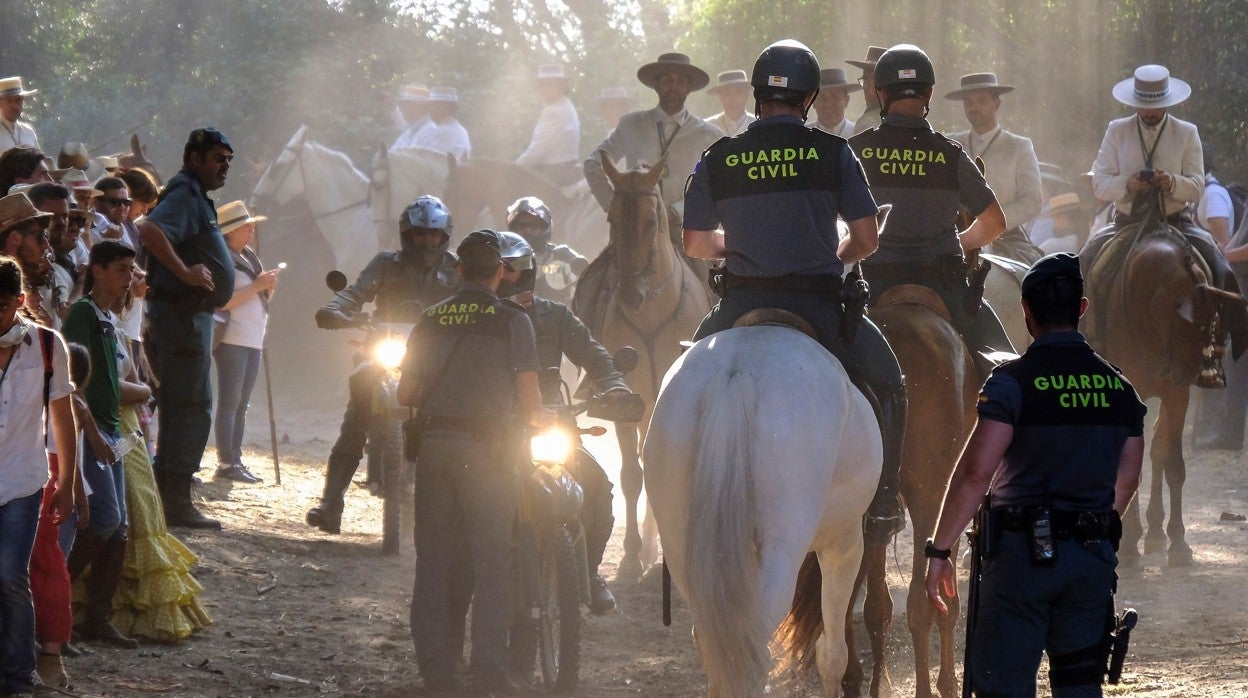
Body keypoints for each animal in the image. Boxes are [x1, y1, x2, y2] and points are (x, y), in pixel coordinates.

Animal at [648, 319, 883, 694]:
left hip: (680, 544)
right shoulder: (843, 543)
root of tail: (736, 371)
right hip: (782, 551)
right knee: (754, 646)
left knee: (714, 644)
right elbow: (833, 654)